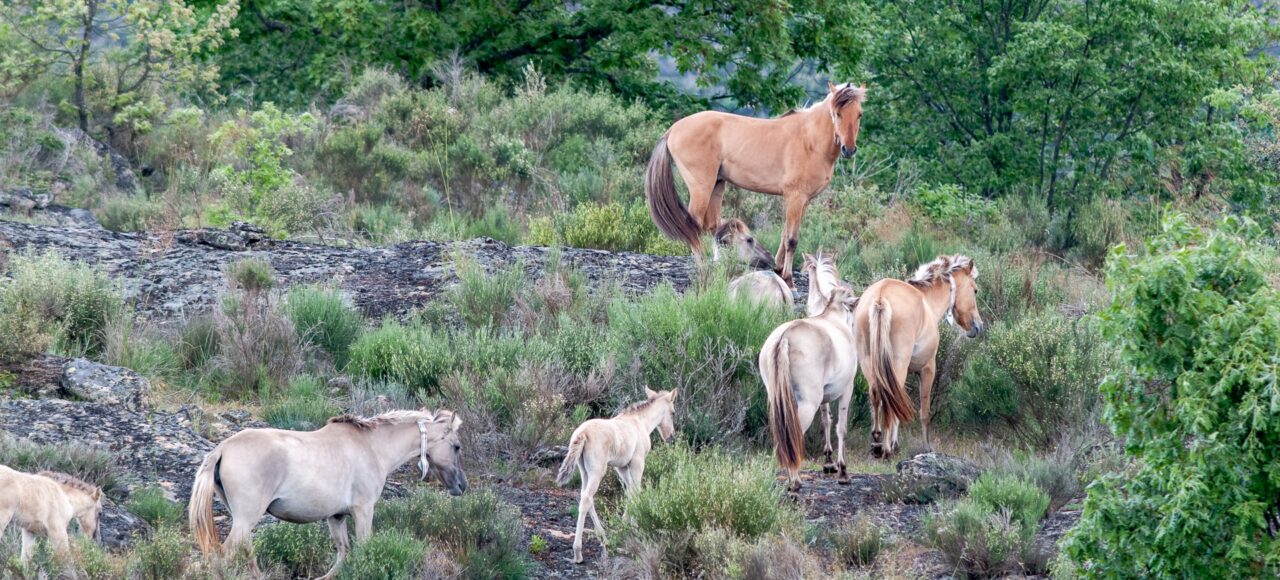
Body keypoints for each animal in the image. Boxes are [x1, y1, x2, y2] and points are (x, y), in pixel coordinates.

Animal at [189, 408, 468, 579]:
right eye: (456, 446)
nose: (462, 485)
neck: (372, 447)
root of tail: (223, 448)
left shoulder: (336, 516)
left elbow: (342, 552)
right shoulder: (363, 511)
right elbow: (362, 549)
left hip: (242, 521)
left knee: (246, 554)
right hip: (246, 519)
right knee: (223, 557)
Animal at [555, 387, 677, 564]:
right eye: (673, 412)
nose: (670, 436)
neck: (641, 422)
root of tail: (582, 433)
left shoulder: (622, 468)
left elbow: (630, 493)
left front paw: (629, 527)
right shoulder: (637, 462)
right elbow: (636, 493)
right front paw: (631, 528)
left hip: (584, 470)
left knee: (585, 496)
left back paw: (604, 539)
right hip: (598, 470)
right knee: (586, 499)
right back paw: (578, 552)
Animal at [646, 82, 866, 286]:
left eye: (859, 114)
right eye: (836, 113)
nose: (849, 149)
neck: (809, 140)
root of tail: (672, 130)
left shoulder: (802, 201)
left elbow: (785, 233)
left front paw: (778, 269)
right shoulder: (796, 197)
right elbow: (791, 239)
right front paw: (788, 279)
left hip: (717, 186)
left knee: (712, 227)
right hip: (701, 188)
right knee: (693, 226)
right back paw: (704, 270)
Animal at [759, 285, 860, 492]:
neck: (834, 317)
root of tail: (785, 337)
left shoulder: (824, 397)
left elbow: (826, 421)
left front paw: (829, 462)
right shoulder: (847, 389)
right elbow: (841, 428)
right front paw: (843, 471)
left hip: (777, 400)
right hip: (807, 403)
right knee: (795, 434)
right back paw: (795, 480)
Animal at [854, 255, 984, 458]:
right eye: (975, 289)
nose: (978, 326)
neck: (927, 303)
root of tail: (880, 298)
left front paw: (895, 442)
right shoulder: (927, 369)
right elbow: (924, 412)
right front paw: (927, 447)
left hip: (870, 364)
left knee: (876, 395)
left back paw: (876, 443)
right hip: (898, 364)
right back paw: (886, 449)